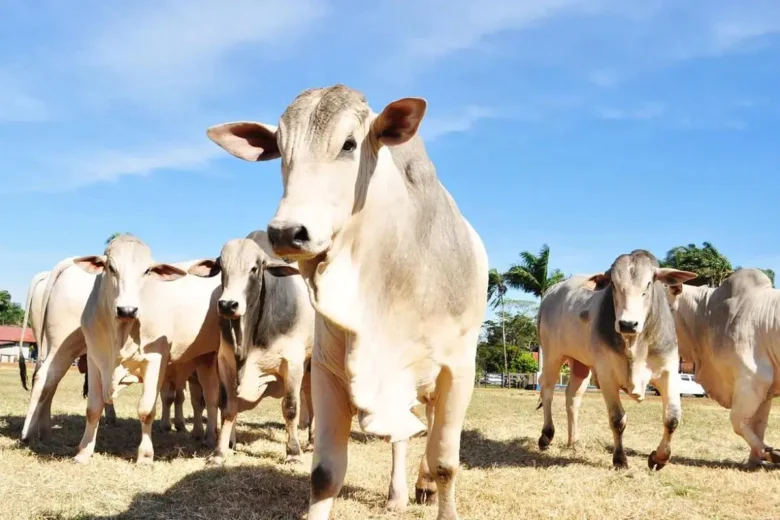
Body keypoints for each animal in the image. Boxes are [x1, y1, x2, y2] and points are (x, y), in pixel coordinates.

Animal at [69, 236, 221, 464]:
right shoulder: (95, 360)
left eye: (147, 271)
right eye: (111, 267)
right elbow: (93, 408)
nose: (127, 310)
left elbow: (147, 410)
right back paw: (208, 437)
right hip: (204, 359)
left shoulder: (155, 360)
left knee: (211, 400)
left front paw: (146, 455)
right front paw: (84, 451)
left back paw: (212, 438)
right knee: (207, 399)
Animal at [189, 235, 314, 464]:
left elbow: (290, 408)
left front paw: (293, 453)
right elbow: (227, 407)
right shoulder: (225, 362)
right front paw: (220, 452)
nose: (228, 305)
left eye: (254, 269)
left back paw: (311, 442)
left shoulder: (292, 363)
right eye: (222, 268)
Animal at [207, 84, 488, 520]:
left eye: (349, 144)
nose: (287, 232)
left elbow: (445, 462)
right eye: (280, 150)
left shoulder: (458, 370)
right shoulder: (327, 369)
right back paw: (401, 492)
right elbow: (324, 473)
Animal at [536, 250, 696, 470]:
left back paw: (573, 441)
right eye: (613, 284)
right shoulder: (607, 376)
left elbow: (672, 418)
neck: (636, 344)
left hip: (581, 365)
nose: (627, 324)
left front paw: (659, 458)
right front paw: (620, 459)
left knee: (572, 397)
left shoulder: (669, 372)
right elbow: (617, 419)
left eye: (648, 284)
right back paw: (546, 435)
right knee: (548, 391)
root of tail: (552, 291)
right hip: (553, 355)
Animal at [664, 268, 780, 468]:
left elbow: (737, 421)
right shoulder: (766, 390)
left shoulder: (753, 380)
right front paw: (755, 460)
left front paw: (770, 453)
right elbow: (758, 425)